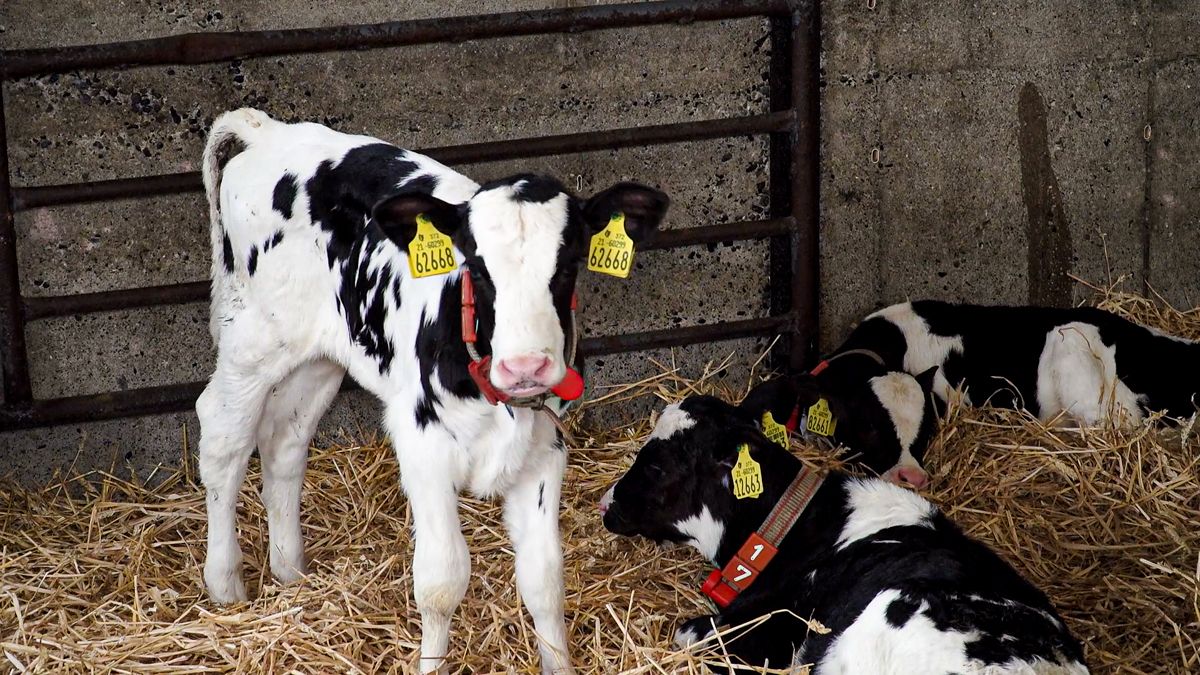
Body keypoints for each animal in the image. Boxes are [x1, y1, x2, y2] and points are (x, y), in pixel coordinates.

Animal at [197, 108, 668, 673]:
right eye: (477, 267)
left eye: (570, 264)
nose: (526, 365)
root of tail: (268, 131)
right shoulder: (422, 445)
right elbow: (441, 582)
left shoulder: (543, 451)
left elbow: (544, 579)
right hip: (253, 338)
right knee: (223, 438)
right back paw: (225, 584)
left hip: (319, 356)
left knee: (285, 441)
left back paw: (291, 571)